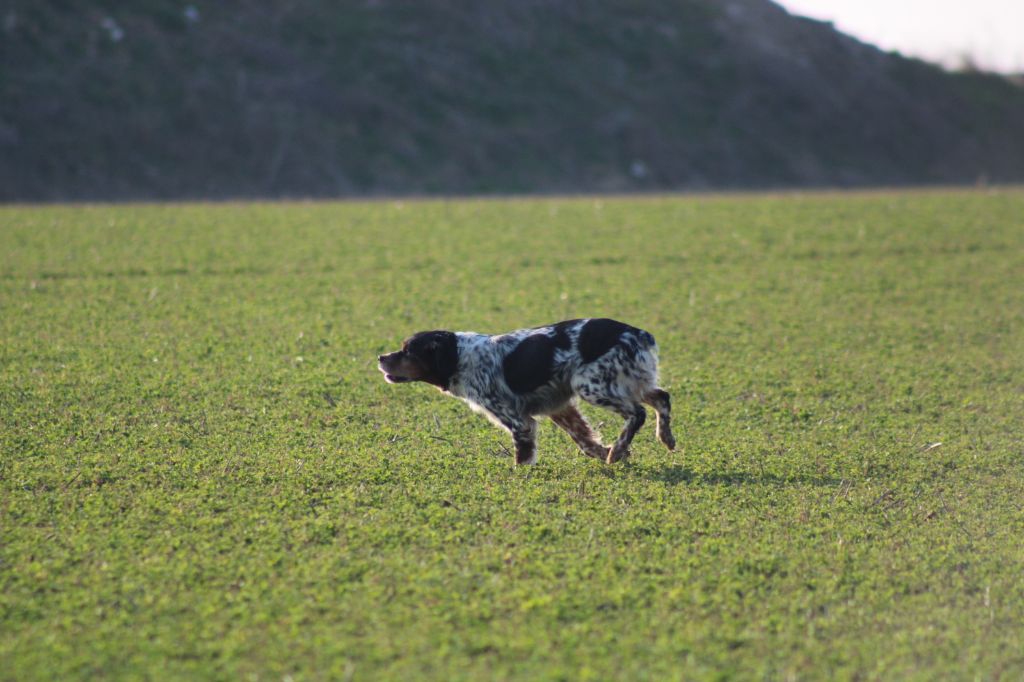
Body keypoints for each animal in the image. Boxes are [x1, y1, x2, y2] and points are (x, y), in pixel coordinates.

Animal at [380, 317, 675, 462]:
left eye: (408, 351)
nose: (380, 357)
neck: (459, 358)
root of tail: (635, 333)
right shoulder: (559, 407)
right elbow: (585, 441)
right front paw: (607, 452)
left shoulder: (518, 420)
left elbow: (522, 456)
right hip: (630, 382)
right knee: (662, 397)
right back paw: (665, 438)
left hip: (592, 385)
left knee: (637, 413)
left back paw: (619, 450)